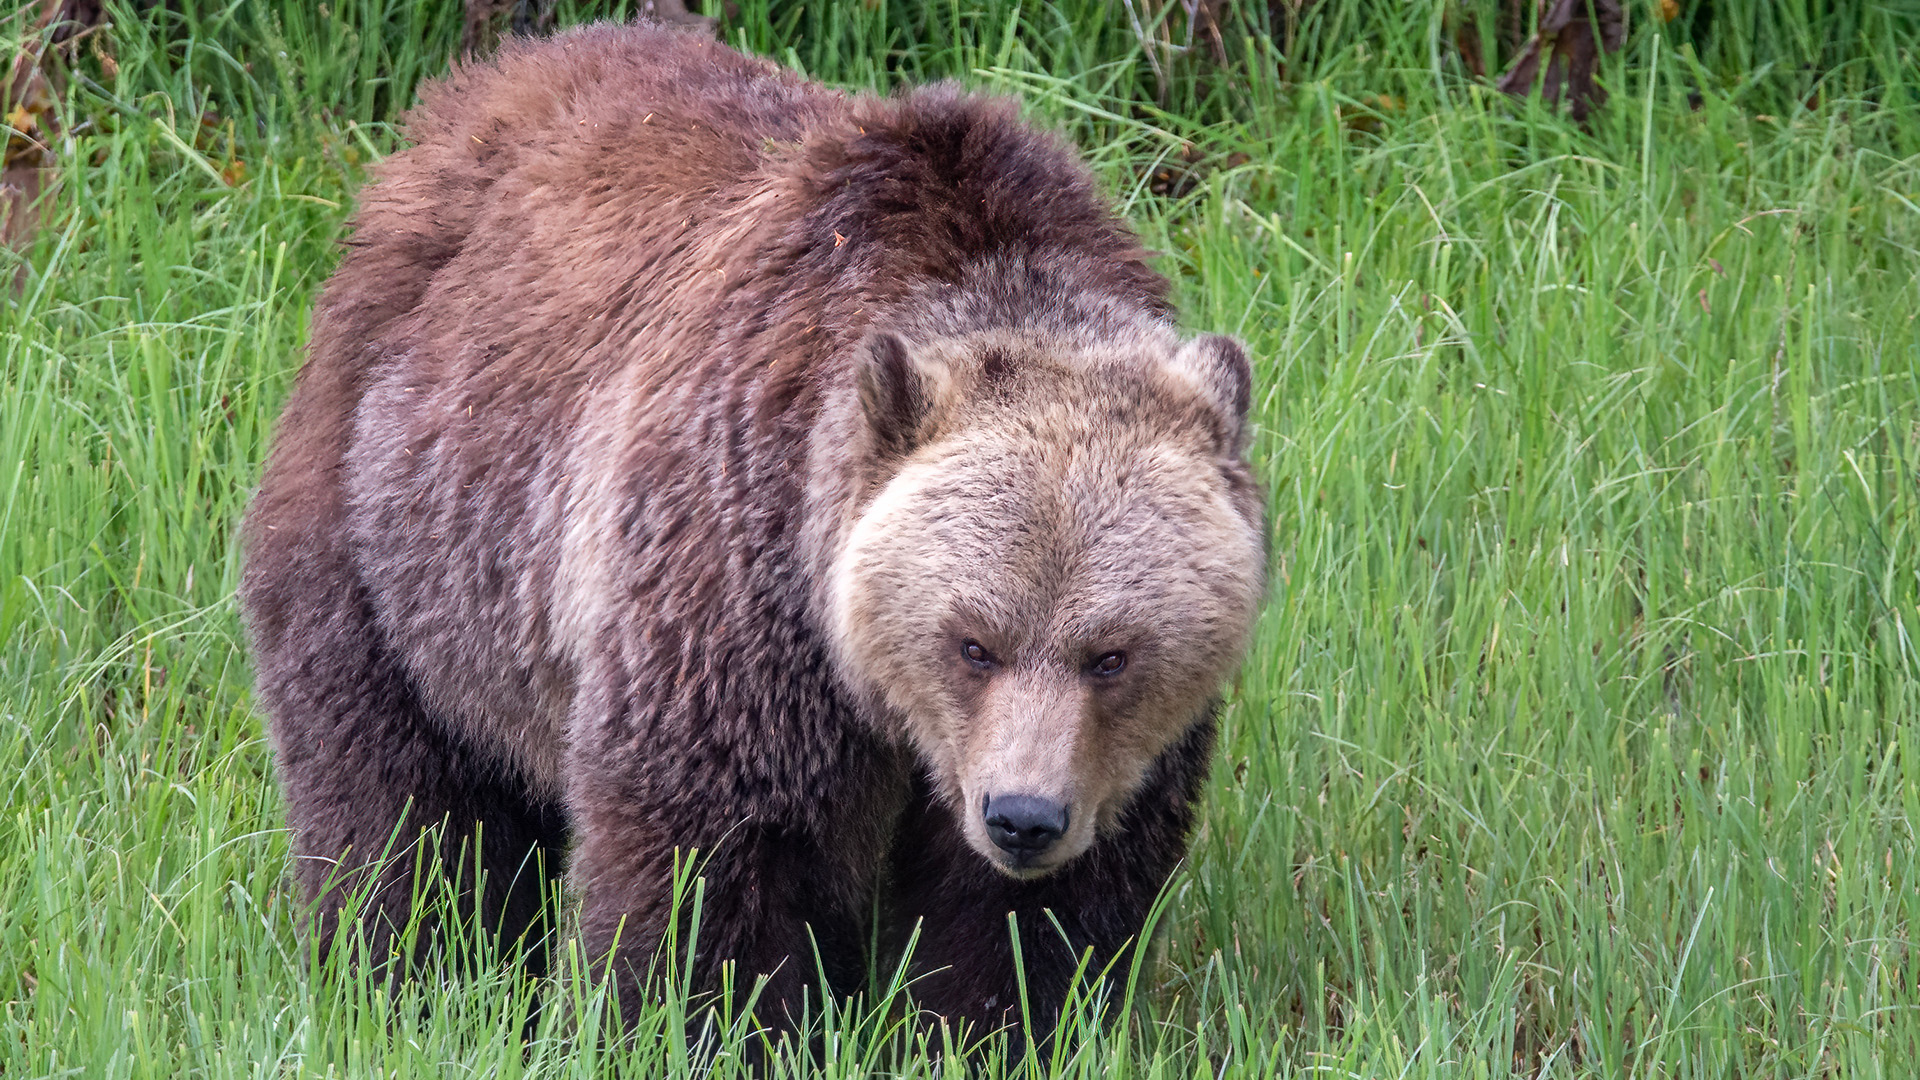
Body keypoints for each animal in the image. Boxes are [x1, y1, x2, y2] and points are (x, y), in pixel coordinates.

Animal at [240, 20, 1267, 1048]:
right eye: (974, 642)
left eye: (1112, 655)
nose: (1022, 816)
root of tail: (485, 80)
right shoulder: (739, 571)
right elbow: (710, 858)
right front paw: (705, 1024)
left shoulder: (1112, 764)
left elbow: (1027, 926)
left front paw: (980, 1027)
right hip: (402, 530)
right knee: (398, 798)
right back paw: (404, 976)